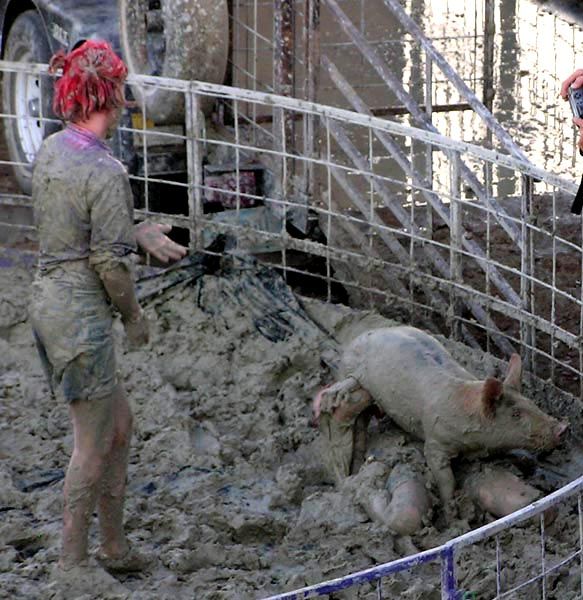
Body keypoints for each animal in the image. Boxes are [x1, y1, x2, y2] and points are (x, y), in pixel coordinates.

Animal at [314, 326, 572, 512]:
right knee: (349, 382)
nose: (563, 427)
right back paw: (331, 399)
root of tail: (362, 335)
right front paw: (452, 511)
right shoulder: (435, 439)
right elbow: (445, 478)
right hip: (351, 367)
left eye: (532, 404)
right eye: (516, 414)